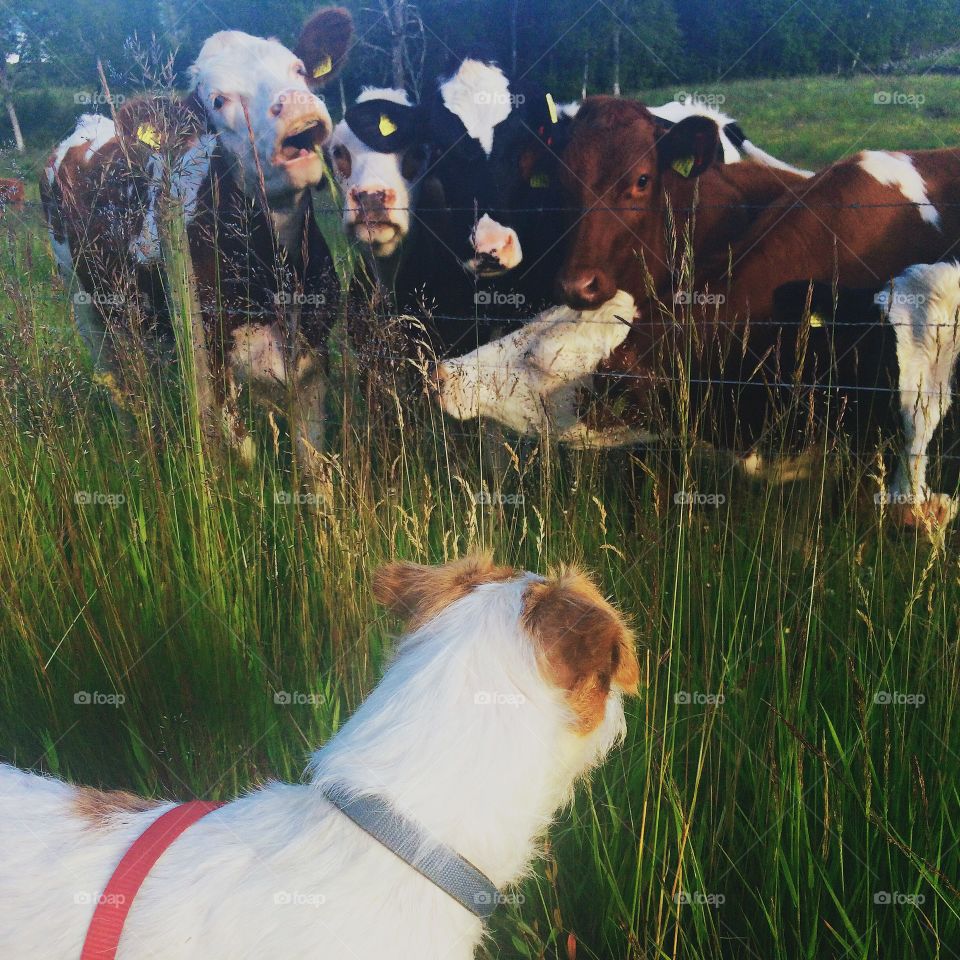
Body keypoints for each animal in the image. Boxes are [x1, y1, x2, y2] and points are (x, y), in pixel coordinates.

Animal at [41, 5, 354, 488]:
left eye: (299, 70)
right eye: (219, 101)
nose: (299, 108)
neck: (277, 269)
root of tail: (90, 125)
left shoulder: (313, 353)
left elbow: (314, 466)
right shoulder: (210, 357)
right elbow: (243, 453)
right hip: (85, 305)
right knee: (119, 385)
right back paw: (137, 449)